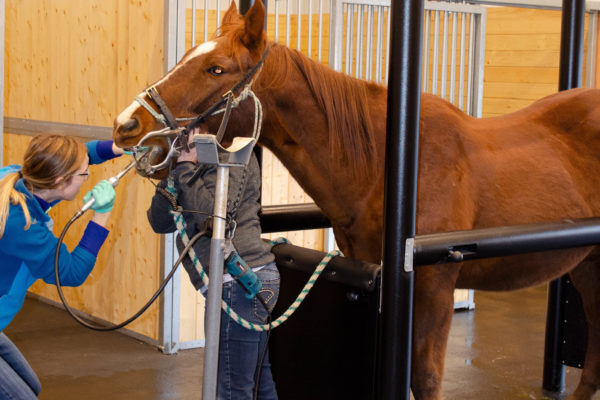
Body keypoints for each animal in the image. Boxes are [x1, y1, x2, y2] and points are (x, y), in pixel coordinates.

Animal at [110, 1, 596, 398]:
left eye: (217, 68)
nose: (126, 126)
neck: (385, 163)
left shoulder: (435, 288)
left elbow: (426, 378)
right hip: (588, 264)